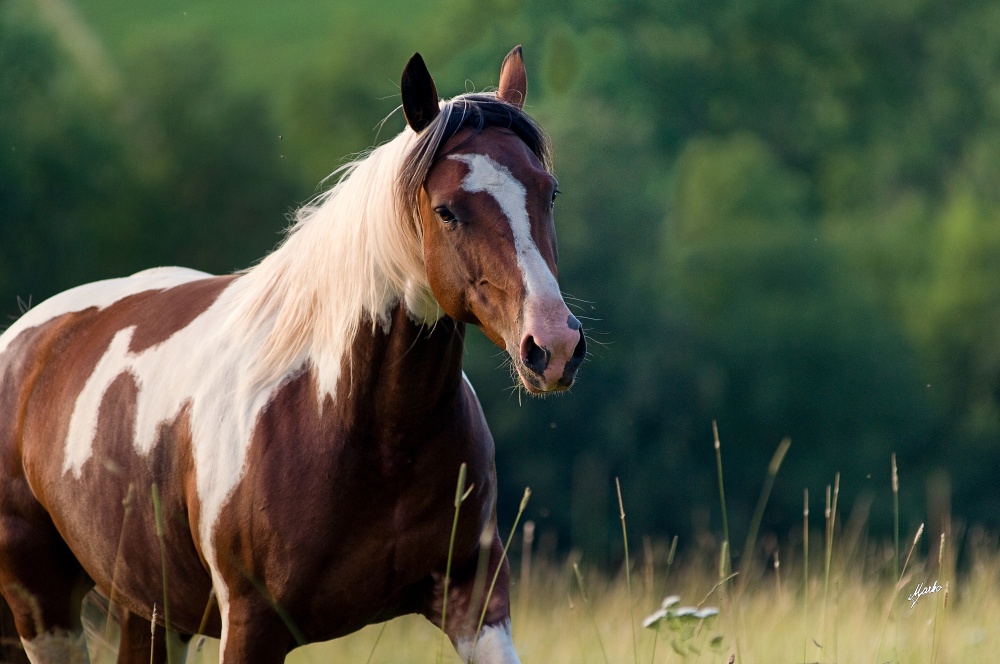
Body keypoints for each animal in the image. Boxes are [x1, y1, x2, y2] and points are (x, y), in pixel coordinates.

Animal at [0, 48, 584, 664]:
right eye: (447, 211)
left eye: (549, 192)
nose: (553, 346)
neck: (356, 424)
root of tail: (23, 342)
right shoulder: (251, 625)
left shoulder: (476, 601)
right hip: (44, 608)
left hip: (152, 610)